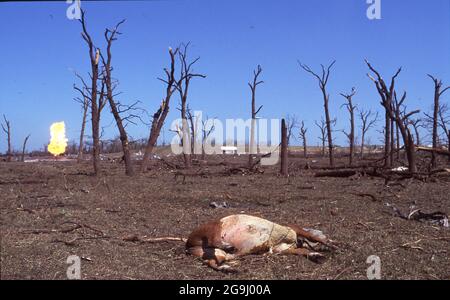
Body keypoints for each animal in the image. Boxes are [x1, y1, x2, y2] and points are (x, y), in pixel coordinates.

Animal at [185, 213, 336, 272]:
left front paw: (316, 255)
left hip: (218, 253)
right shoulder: (294, 228)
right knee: (214, 239)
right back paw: (228, 247)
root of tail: (188, 245)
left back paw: (228, 268)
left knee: (210, 262)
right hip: (216, 225)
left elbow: (303, 250)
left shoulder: (282, 249)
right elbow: (315, 238)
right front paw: (331, 245)